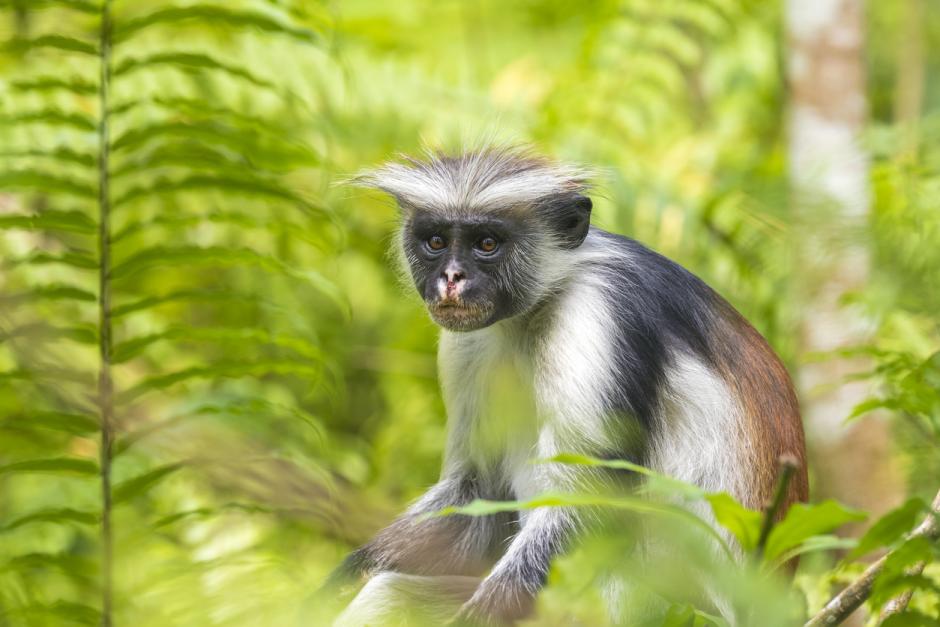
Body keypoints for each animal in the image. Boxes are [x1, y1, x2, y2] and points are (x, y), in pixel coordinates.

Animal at [320, 147, 808, 626]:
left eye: (487, 244)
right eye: (436, 242)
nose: (451, 278)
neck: (537, 305)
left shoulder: (598, 312)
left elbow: (592, 500)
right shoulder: (468, 342)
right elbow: (481, 494)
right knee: (387, 595)